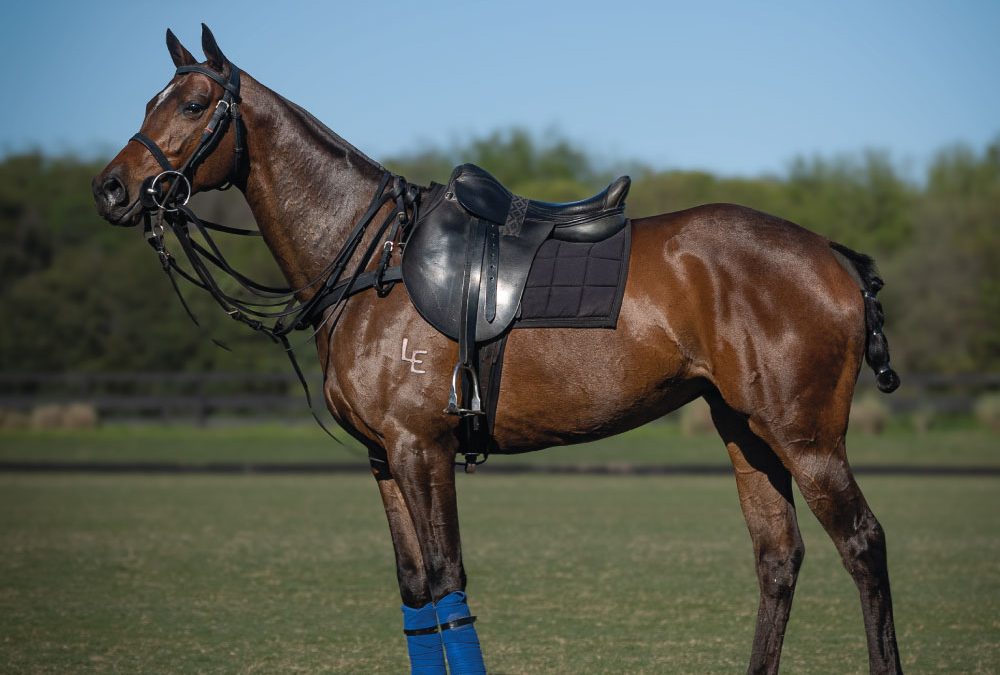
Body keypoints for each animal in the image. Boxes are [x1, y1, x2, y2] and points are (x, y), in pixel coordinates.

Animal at [94, 25, 908, 675]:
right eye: (148, 102)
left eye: (192, 105)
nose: (111, 189)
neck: (372, 259)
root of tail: (834, 257)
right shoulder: (383, 458)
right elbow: (416, 591)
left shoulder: (422, 447)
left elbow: (448, 581)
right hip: (744, 428)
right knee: (778, 556)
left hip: (805, 435)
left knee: (863, 542)